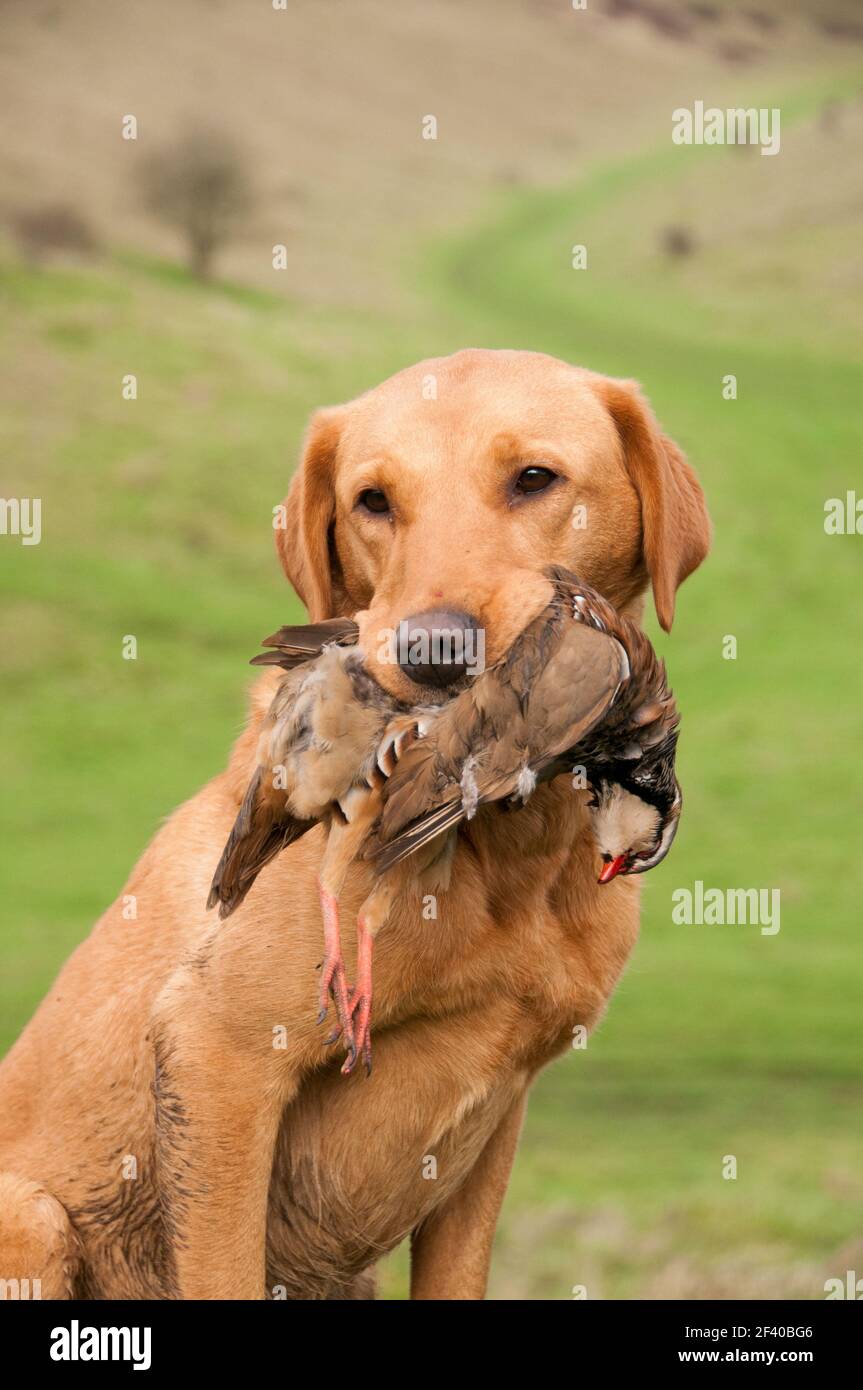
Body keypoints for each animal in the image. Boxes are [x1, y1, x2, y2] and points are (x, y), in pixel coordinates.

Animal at [0, 350, 705, 1301]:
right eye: (372, 499)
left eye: (534, 478)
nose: (434, 652)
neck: (513, 865)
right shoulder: (218, 1061)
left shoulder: (495, 1125)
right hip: (32, 1216)